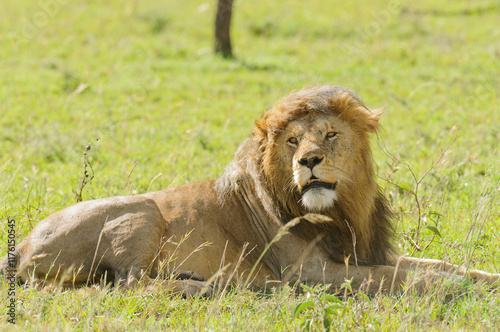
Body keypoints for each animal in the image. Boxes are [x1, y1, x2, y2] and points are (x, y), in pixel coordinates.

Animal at [1, 85, 498, 296]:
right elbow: (402, 278)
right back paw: (212, 286)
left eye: (329, 135)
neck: (340, 211)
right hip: (142, 210)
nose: (308, 161)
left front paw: (483, 279)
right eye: (293, 141)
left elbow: (436, 264)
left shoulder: (363, 252)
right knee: (130, 284)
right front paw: (453, 289)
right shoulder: (312, 272)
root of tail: (19, 247)